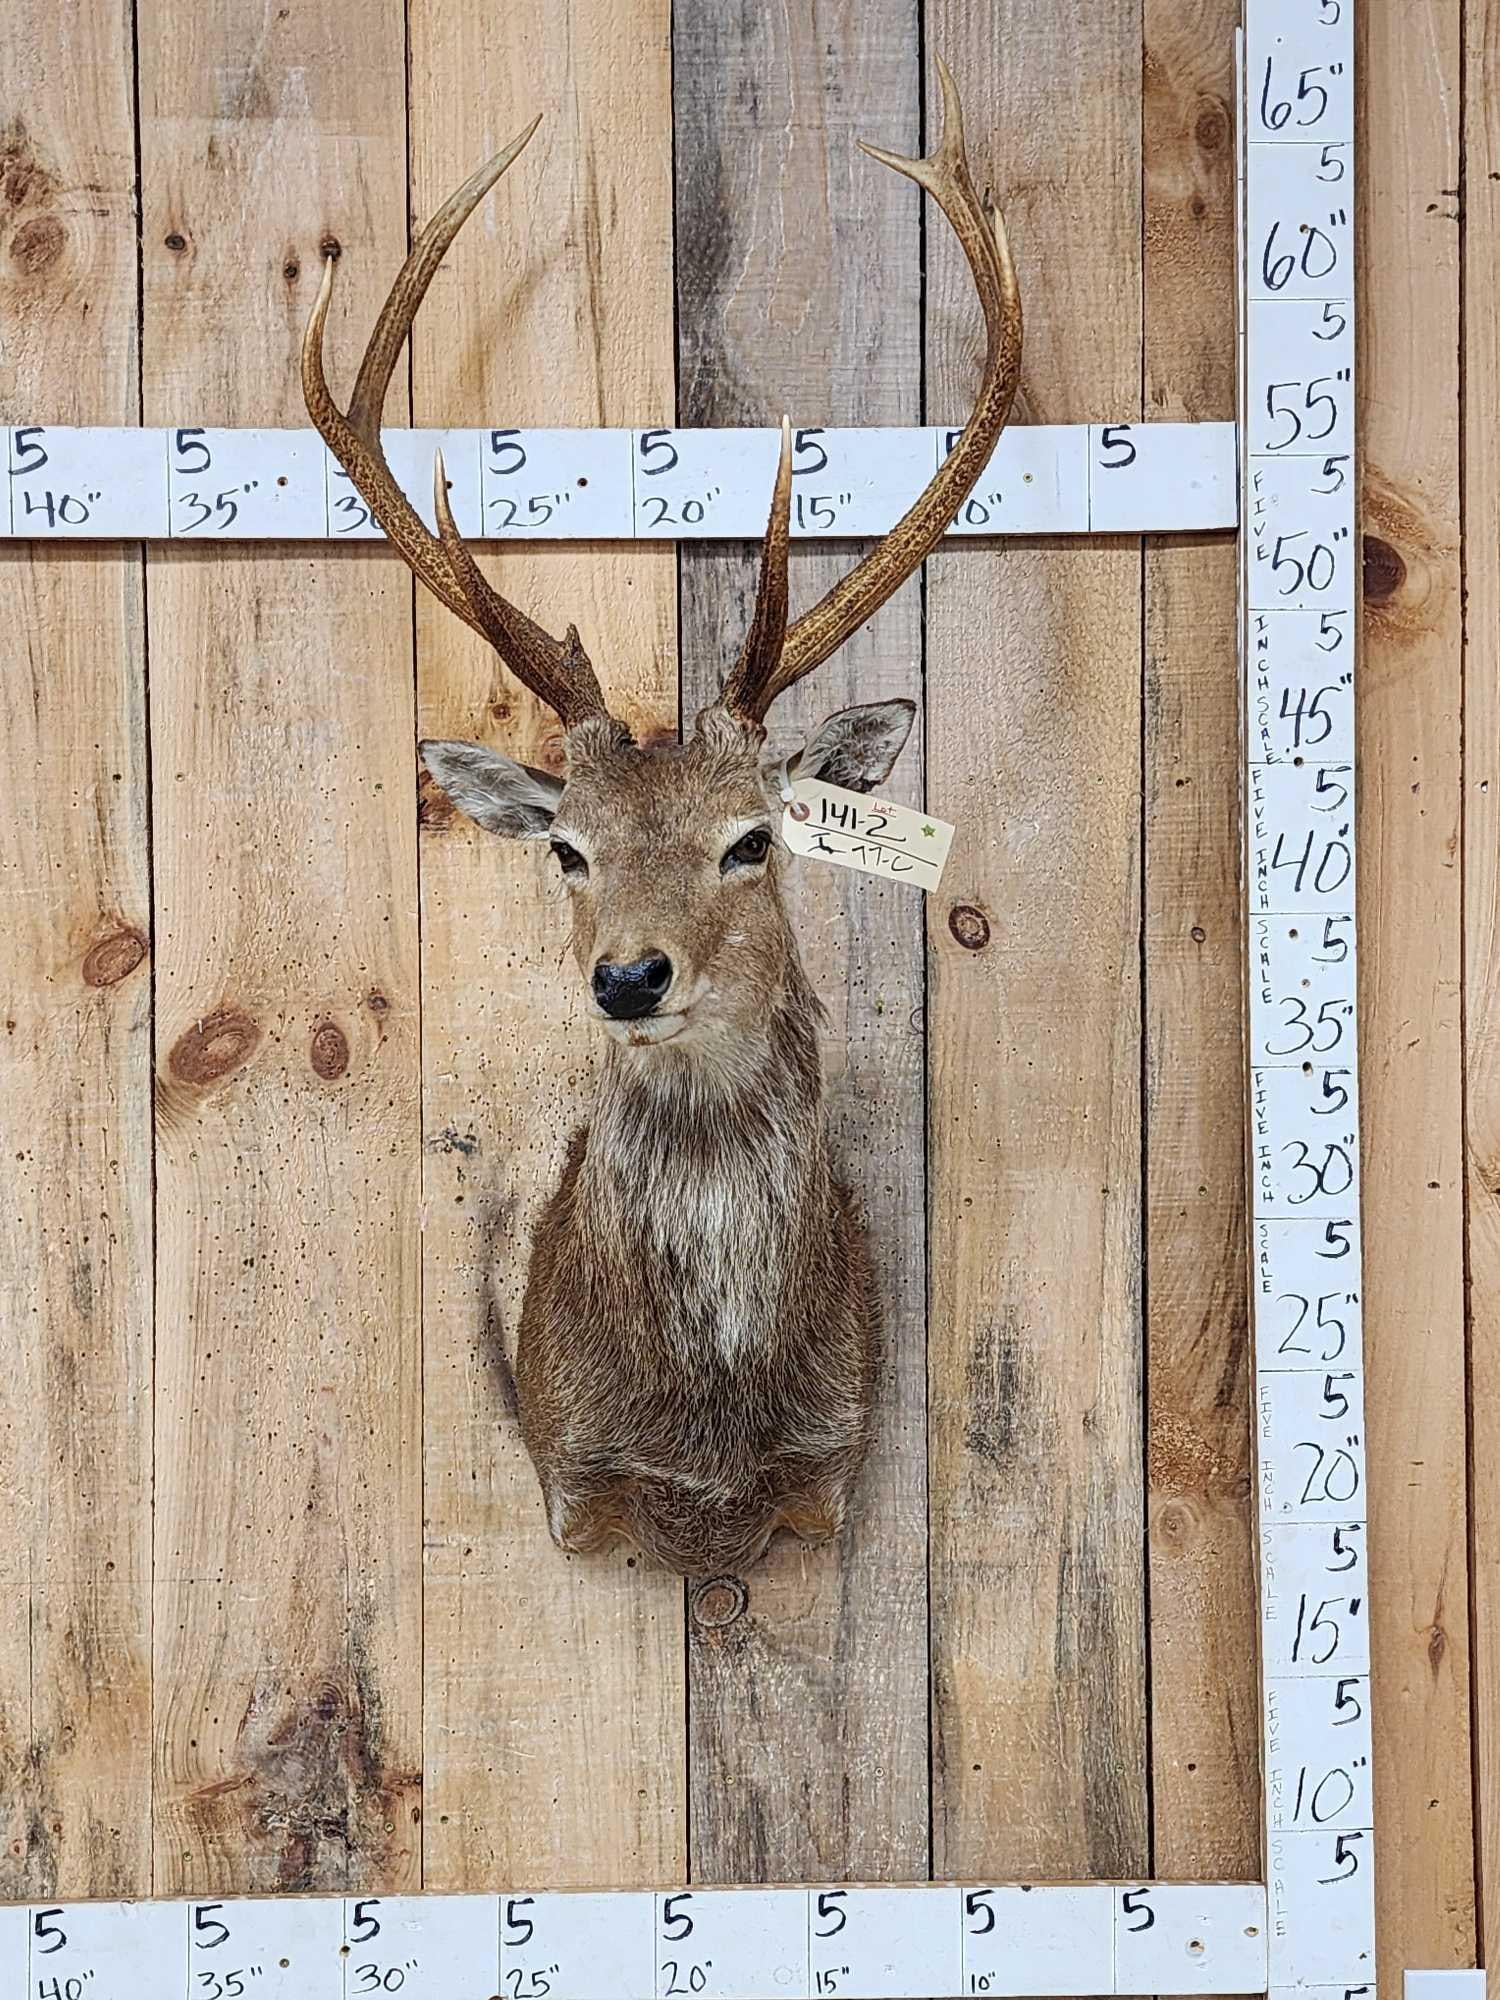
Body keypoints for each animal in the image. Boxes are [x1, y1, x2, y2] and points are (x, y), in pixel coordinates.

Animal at [302, 59, 1022, 1579]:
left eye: (753, 838)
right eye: (567, 848)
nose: (629, 974)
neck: (708, 1436)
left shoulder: (829, 1467)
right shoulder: (575, 1473)